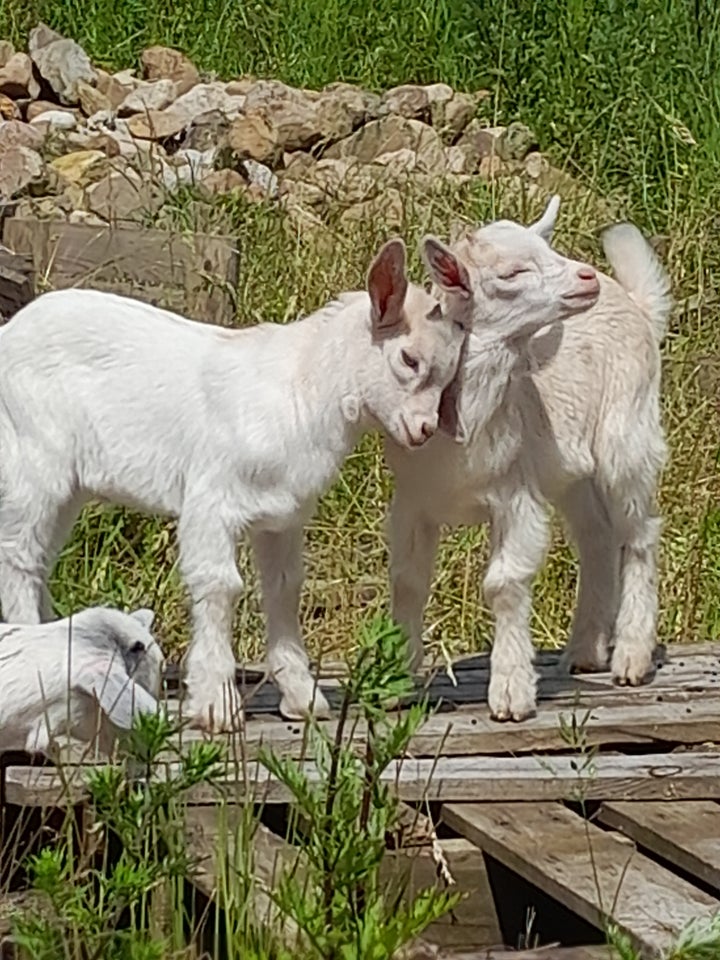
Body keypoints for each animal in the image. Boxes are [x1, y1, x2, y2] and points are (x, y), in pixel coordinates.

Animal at [386, 195, 672, 720]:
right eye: (512, 272)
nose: (585, 278)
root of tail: (635, 304)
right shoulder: (413, 501)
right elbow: (408, 581)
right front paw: (394, 684)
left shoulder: (515, 495)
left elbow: (504, 584)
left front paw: (511, 693)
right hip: (572, 471)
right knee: (597, 537)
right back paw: (584, 651)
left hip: (627, 437)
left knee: (638, 533)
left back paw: (631, 657)